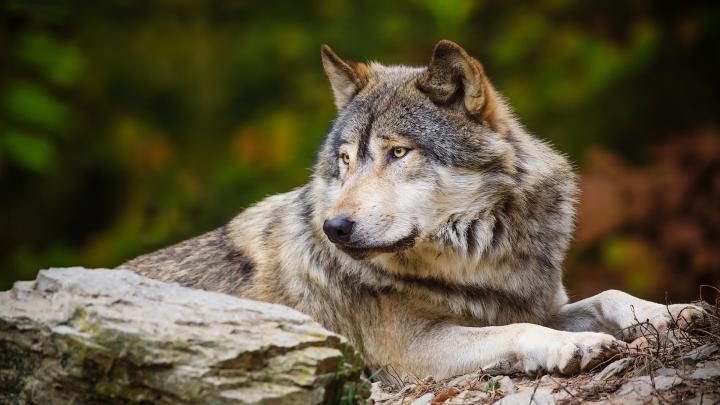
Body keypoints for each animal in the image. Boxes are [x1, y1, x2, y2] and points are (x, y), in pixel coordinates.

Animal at [122, 40, 706, 380]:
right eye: (345, 160)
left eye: (398, 153)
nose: (335, 227)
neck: (478, 260)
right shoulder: (409, 353)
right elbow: (519, 332)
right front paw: (576, 346)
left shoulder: (528, 301)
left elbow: (608, 296)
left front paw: (674, 313)